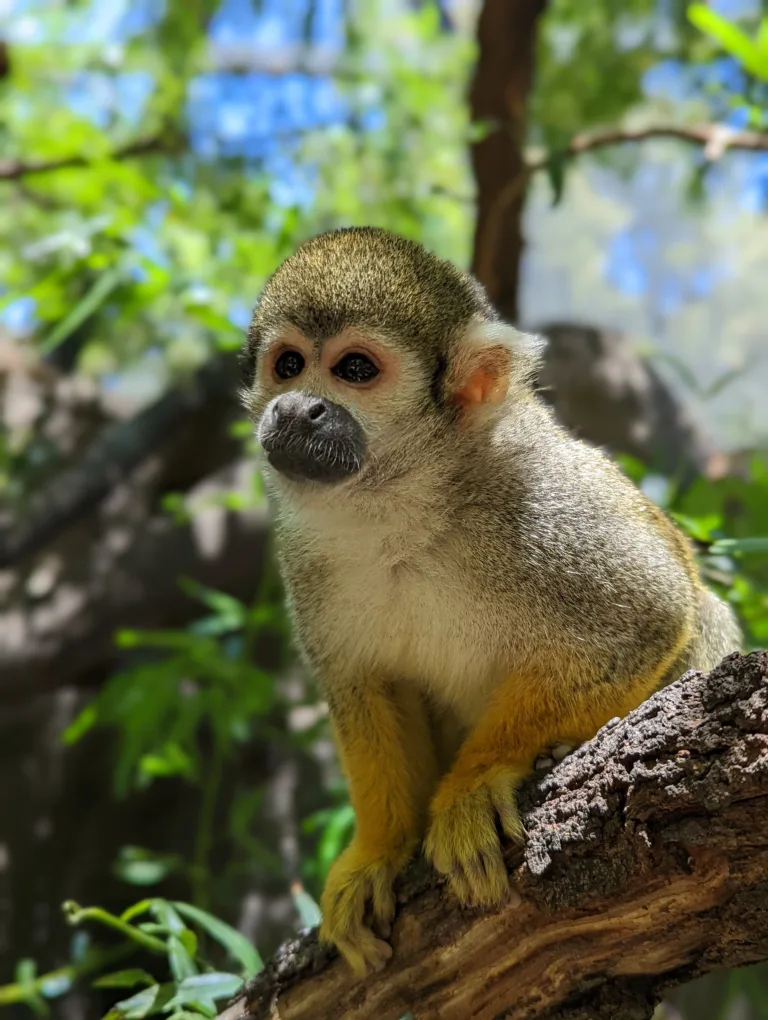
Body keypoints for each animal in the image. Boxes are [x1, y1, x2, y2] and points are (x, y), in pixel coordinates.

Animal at [240, 226, 743, 976]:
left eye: (355, 368)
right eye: (289, 364)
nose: (297, 406)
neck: (404, 503)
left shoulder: (538, 495)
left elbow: (647, 613)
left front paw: (475, 784)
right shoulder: (305, 556)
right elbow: (367, 684)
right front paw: (379, 850)